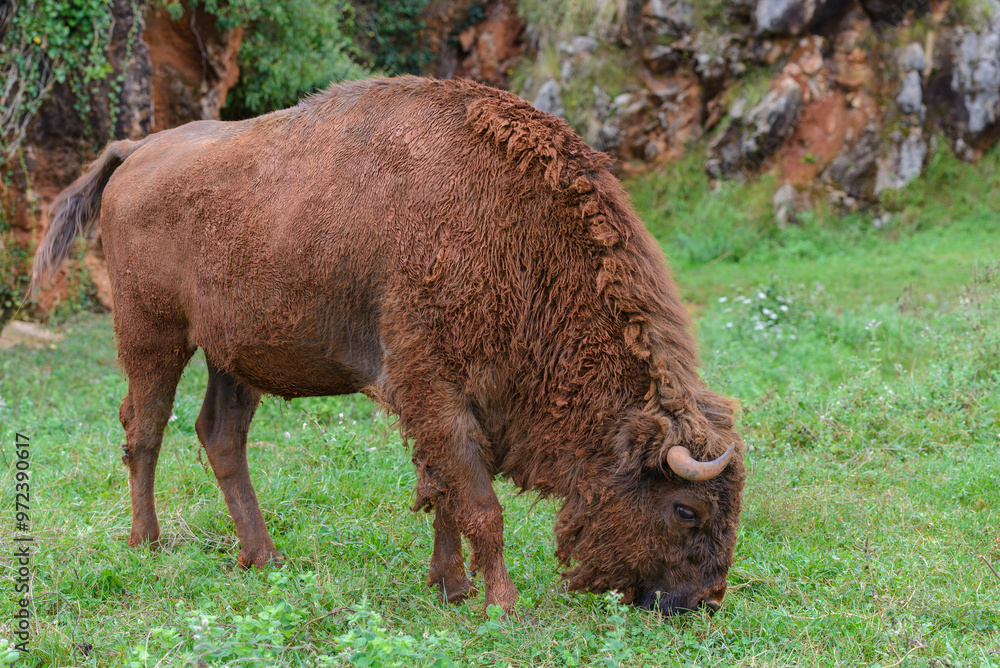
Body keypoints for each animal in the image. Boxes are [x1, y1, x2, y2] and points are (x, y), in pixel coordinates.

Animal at [32, 76, 744, 615]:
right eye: (687, 510)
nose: (704, 601)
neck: (512, 232)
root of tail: (136, 151)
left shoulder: (458, 406)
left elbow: (445, 494)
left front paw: (452, 588)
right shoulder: (435, 388)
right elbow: (478, 504)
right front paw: (502, 602)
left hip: (233, 355)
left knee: (220, 434)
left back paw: (262, 556)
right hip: (152, 334)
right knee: (144, 428)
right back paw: (148, 545)